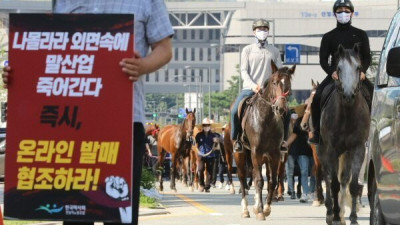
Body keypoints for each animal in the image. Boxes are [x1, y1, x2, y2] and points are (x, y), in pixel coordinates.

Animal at [234, 60, 294, 221]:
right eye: (274, 82)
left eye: (288, 84)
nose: (280, 108)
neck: (267, 118)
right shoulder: (256, 151)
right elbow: (260, 181)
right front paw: (260, 211)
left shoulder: (275, 154)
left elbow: (272, 181)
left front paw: (266, 208)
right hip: (241, 154)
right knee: (242, 178)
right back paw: (245, 210)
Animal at [318, 44, 370, 224]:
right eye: (339, 68)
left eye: (358, 68)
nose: (348, 95)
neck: (347, 115)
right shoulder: (332, 149)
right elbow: (333, 183)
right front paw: (334, 215)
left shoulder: (358, 149)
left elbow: (353, 185)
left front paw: (352, 217)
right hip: (323, 150)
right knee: (327, 176)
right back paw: (330, 211)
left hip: (346, 154)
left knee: (345, 179)